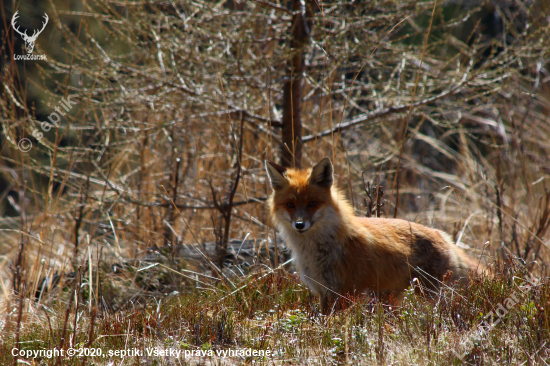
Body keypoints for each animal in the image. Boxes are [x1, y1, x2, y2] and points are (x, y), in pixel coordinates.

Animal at [266, 156, 484, 314]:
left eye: (312, 203)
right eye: (290, 204)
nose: (299, 225)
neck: (316, 249)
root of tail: (443, 235)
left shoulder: (344, 292)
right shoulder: (324, 291)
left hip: (428, 293)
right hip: (393, 296)